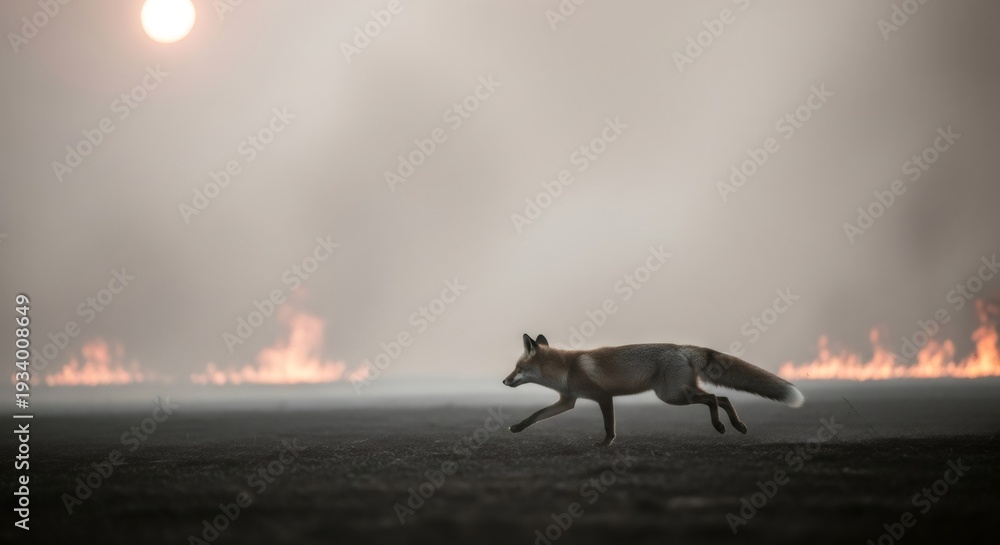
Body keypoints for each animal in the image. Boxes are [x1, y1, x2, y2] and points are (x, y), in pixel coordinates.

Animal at [503, 334, 804, 446]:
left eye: (517, 368)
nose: (504, 382)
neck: (567, 369)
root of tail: (682, 347)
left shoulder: (602, 396)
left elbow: (609, 426)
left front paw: (605, 444)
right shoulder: (568, 401)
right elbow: (536, 415)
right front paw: (517, 427)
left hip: (671, 396)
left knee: (712, 398)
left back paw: (720, 426)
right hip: (680, 393)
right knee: (723, 396)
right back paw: (736, 426)